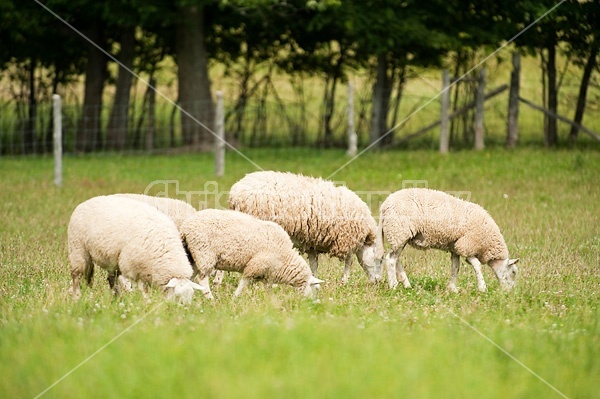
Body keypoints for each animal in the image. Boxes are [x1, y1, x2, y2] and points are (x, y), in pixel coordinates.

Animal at [68, 195, 206, 304]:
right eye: (177, 295)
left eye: (191, 295)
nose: (184, 309)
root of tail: (86, 202)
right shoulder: (136, 268)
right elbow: (143, 289)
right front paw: (147, 302)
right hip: (78, 250)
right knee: (76, 277)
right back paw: (76, 298)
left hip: (112, 259)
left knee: (111, 279)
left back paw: (116, 299)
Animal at [182, 209, 326, 300]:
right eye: (313, 288)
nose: (309, 304)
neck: (285, 257)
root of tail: (186, 226)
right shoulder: (255, 265)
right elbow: (243, 283)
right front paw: (235, 297)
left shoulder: (266, 273)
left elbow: (268, 288)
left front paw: (271, 301)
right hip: (204, 254)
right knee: (202, 278)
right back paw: (210, 298)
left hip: (193, 257)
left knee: (190, 276)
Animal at [227, 172, 382, 284]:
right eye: (379, 260)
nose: (378, 282)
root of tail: (235, 192)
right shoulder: (346, 239)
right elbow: (349, 261)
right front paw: (344, 281)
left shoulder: (312, 241)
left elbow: (314, 263)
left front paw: (315, 279)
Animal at [378, 189, 516, 292]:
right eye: (514, 272)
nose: (510, 293)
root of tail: (384, 206)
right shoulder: (466, 245)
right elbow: (476, 265)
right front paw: (482, 287)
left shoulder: (456, 247)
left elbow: (455, 267)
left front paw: (452, 288)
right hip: (399, 231)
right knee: (391, 259)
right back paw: (394, 285)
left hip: (401, 235)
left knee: (395, 259)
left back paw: (406, 284)